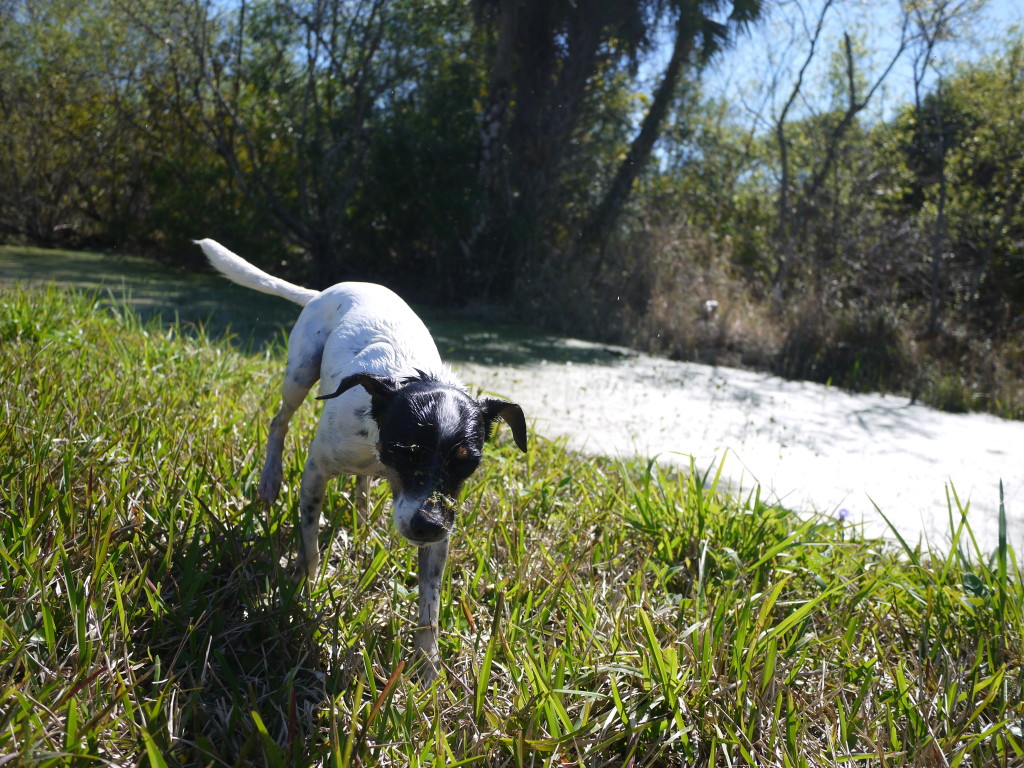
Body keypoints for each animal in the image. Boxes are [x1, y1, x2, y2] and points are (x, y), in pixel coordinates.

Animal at [195, 240, 528, 679]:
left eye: (467, 463)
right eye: (404, 450)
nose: (427, 526)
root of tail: (326, 290)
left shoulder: (442, 521)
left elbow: (431, 604)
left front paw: (428, 669)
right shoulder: (316, 472)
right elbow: (309, 547)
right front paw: (306, 592)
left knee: (362, 486)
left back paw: (363, 520)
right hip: (299, 374)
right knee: (278, 423)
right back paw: (270, 478)